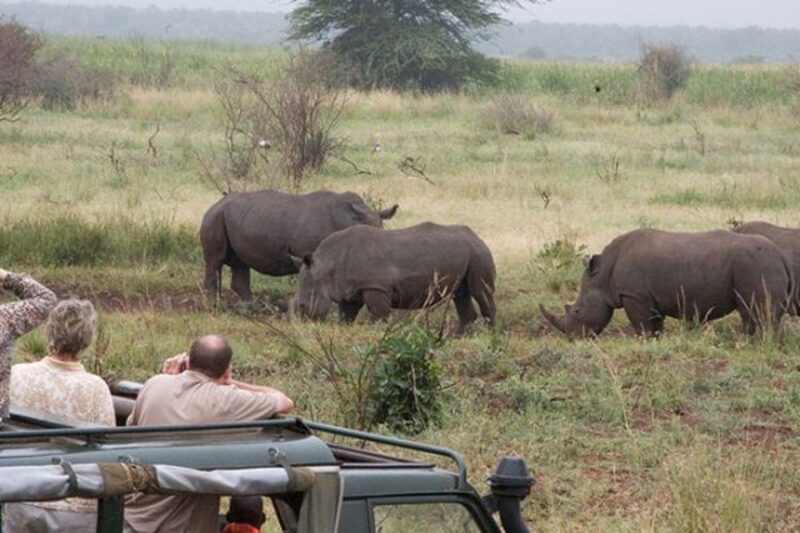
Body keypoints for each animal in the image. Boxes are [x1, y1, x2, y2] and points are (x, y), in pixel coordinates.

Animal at [200, 190, 398, 299]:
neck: (349, 220)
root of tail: (215, 204)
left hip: (237, 218)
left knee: (240, 263)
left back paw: (252, 308)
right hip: (215, 217)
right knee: (215, 260)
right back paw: (216, 307)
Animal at [291, 222, 496, 332]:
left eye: (302, 306)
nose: (304, 328)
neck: (325, 266)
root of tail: (477, 236)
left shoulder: (375, 286)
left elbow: (380, 316)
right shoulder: (350, 290)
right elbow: (346, 316)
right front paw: (344, 329)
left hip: (478, 253)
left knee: (480, 292)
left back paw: (490, 334)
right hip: (467, 252)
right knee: (461, 294)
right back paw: (458, 336)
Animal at [540, 228, 792, 338]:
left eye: (577, 311)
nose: (573, 338)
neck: (603, 275)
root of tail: (781, 255)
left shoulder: (634, 295)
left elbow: (641, 325)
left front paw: (643, 341)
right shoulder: (649, 297)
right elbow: (655, 324)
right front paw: (656, 341)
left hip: (757, 265)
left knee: (762, 311)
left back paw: (765, 346)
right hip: (756, 265)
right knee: (749, 311)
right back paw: (750, 343)